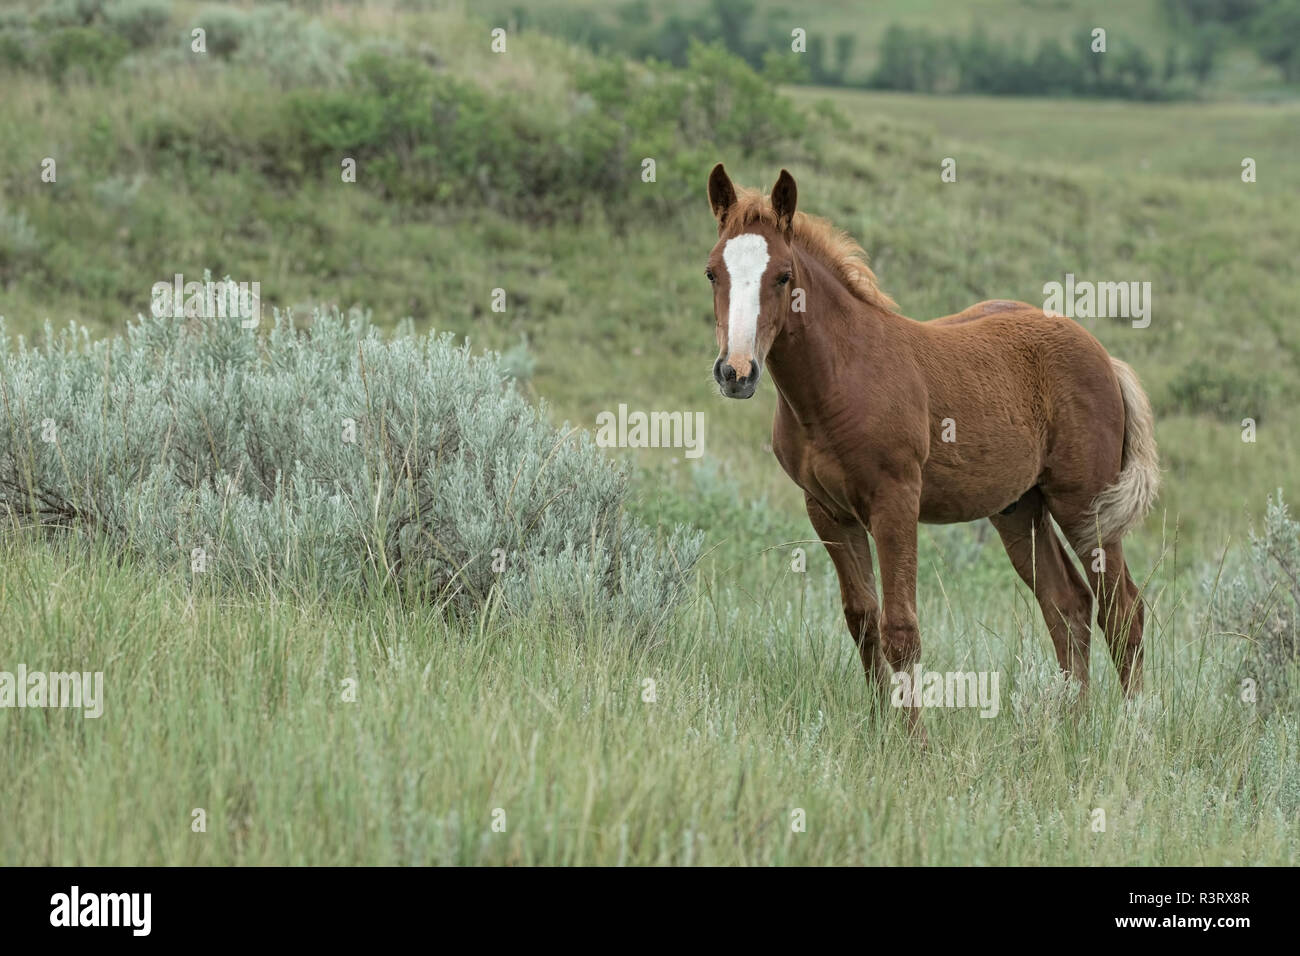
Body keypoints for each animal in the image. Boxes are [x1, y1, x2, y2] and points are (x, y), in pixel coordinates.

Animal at [707, 164, 1164, 723]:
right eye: (713, 273)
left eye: (783, 276)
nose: (736, 372)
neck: (838, 380)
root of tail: (1103, 356)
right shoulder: (827, 510)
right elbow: (862, 620)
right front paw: (880, 729)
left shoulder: (896, 501)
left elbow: (901, 631)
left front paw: (911, 740)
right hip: (1019, 509)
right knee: (1068, 604)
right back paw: (1068, 726)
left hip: (1085, 505)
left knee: (1123, 610)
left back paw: (1131, 727)